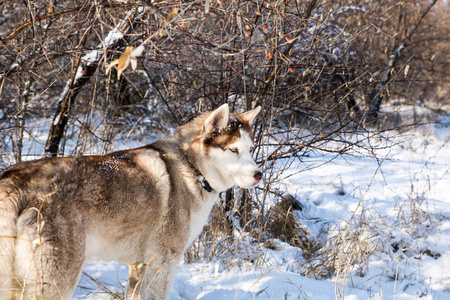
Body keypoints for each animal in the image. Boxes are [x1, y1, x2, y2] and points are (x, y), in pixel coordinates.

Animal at [0, 103, 260, 300]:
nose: (259, 174)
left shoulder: (139, 265)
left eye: (250, 149)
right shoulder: (164, 262)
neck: (192, 168)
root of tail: (14, 182)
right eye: (234, 150)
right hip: (57, 281)